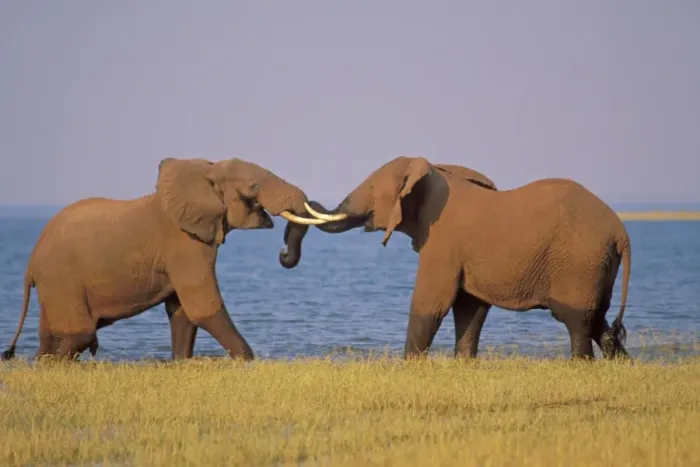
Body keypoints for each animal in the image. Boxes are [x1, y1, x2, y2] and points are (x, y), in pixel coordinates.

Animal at [1, 157, 324, 362]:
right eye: (254, 187)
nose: (282, 253)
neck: (205, 173)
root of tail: (30, 264)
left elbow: (181, 310)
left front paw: (180, 361)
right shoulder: (185, 243)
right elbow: (201, 304)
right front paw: (247, 359)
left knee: (51, 338)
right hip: (62, 278)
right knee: (80, 335)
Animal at [298, 156, 631, 360]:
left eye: (369, 187)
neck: (431, 170)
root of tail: (621, 233)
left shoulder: (442, 242)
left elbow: (432, 301)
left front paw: (409, 366)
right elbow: (470, 307)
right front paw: (464, 363)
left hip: (579, 261)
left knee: (576, 319)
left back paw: (581, 364)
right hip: (597, 264)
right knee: (598, 318)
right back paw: (620, 364)